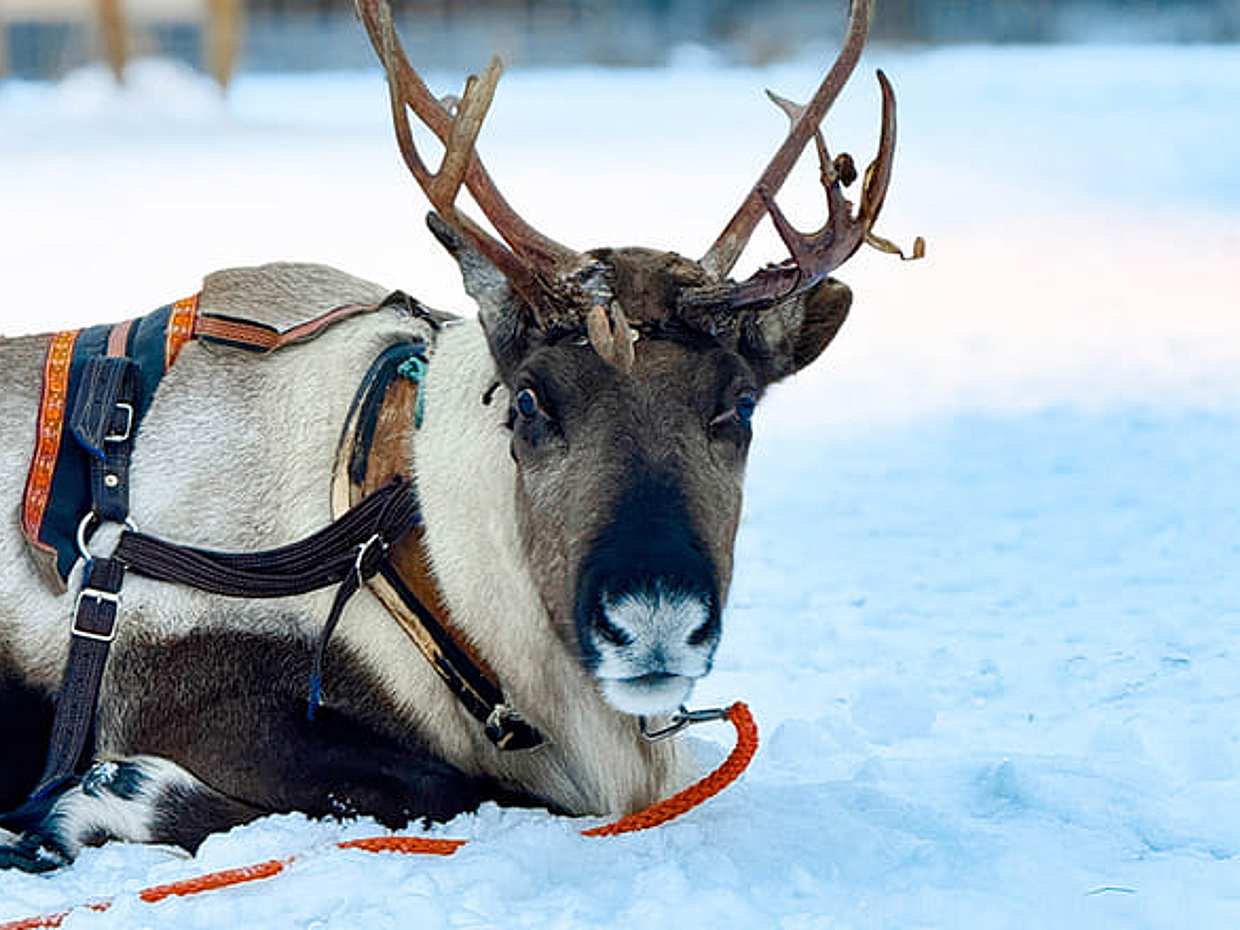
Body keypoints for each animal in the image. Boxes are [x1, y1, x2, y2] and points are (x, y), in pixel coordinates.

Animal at [0, 0, 919, 871]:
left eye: (742, 403)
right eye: (530, 401)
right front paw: (99, 802)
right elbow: (448, 787)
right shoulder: (178, 685)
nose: (653, 618)